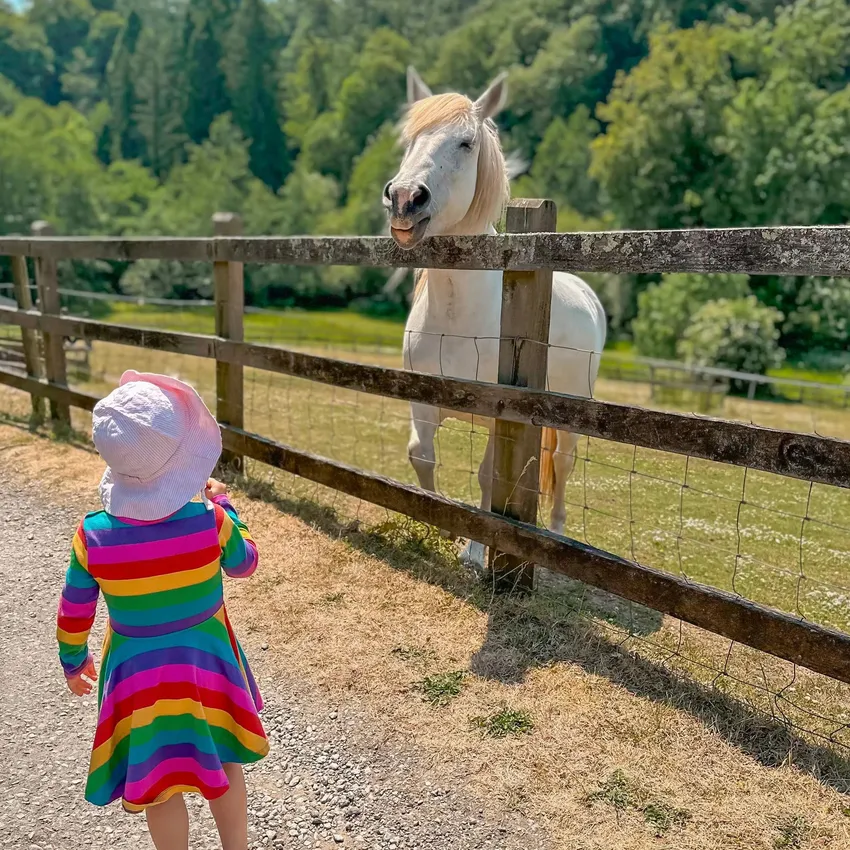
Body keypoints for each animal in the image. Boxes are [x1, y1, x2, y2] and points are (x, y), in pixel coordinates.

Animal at [383, 67, 607, 571]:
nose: (404, 198)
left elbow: (488, 477)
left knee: (562, 463)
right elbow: (421, 456)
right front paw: (443, 523)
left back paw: (556, 533)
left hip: (571, 411)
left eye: (466, 143)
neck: (458, 312)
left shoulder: (497, 412)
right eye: (409, 140)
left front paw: (475, 547)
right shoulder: (422, 401)